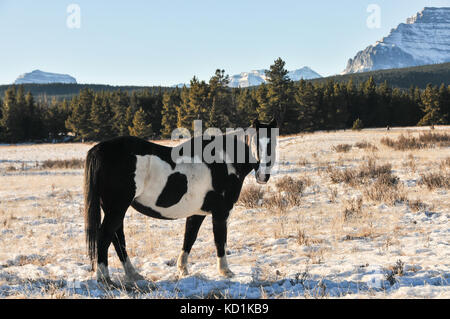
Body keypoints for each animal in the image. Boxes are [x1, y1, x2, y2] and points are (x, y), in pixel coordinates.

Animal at [82, 119, 276, 286]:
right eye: (255, 143)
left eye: (272, 144)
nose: (263, 177)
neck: (225, 160)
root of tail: (99, 149)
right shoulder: (221, 213)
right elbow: (220, 240)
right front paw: (225, 271)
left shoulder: (197, 213)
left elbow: (189, 238)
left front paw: (183, 270)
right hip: (116, 208)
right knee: (105, 236)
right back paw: (105, 279)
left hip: (115, 209)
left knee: (117, 238)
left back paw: (133, 274)